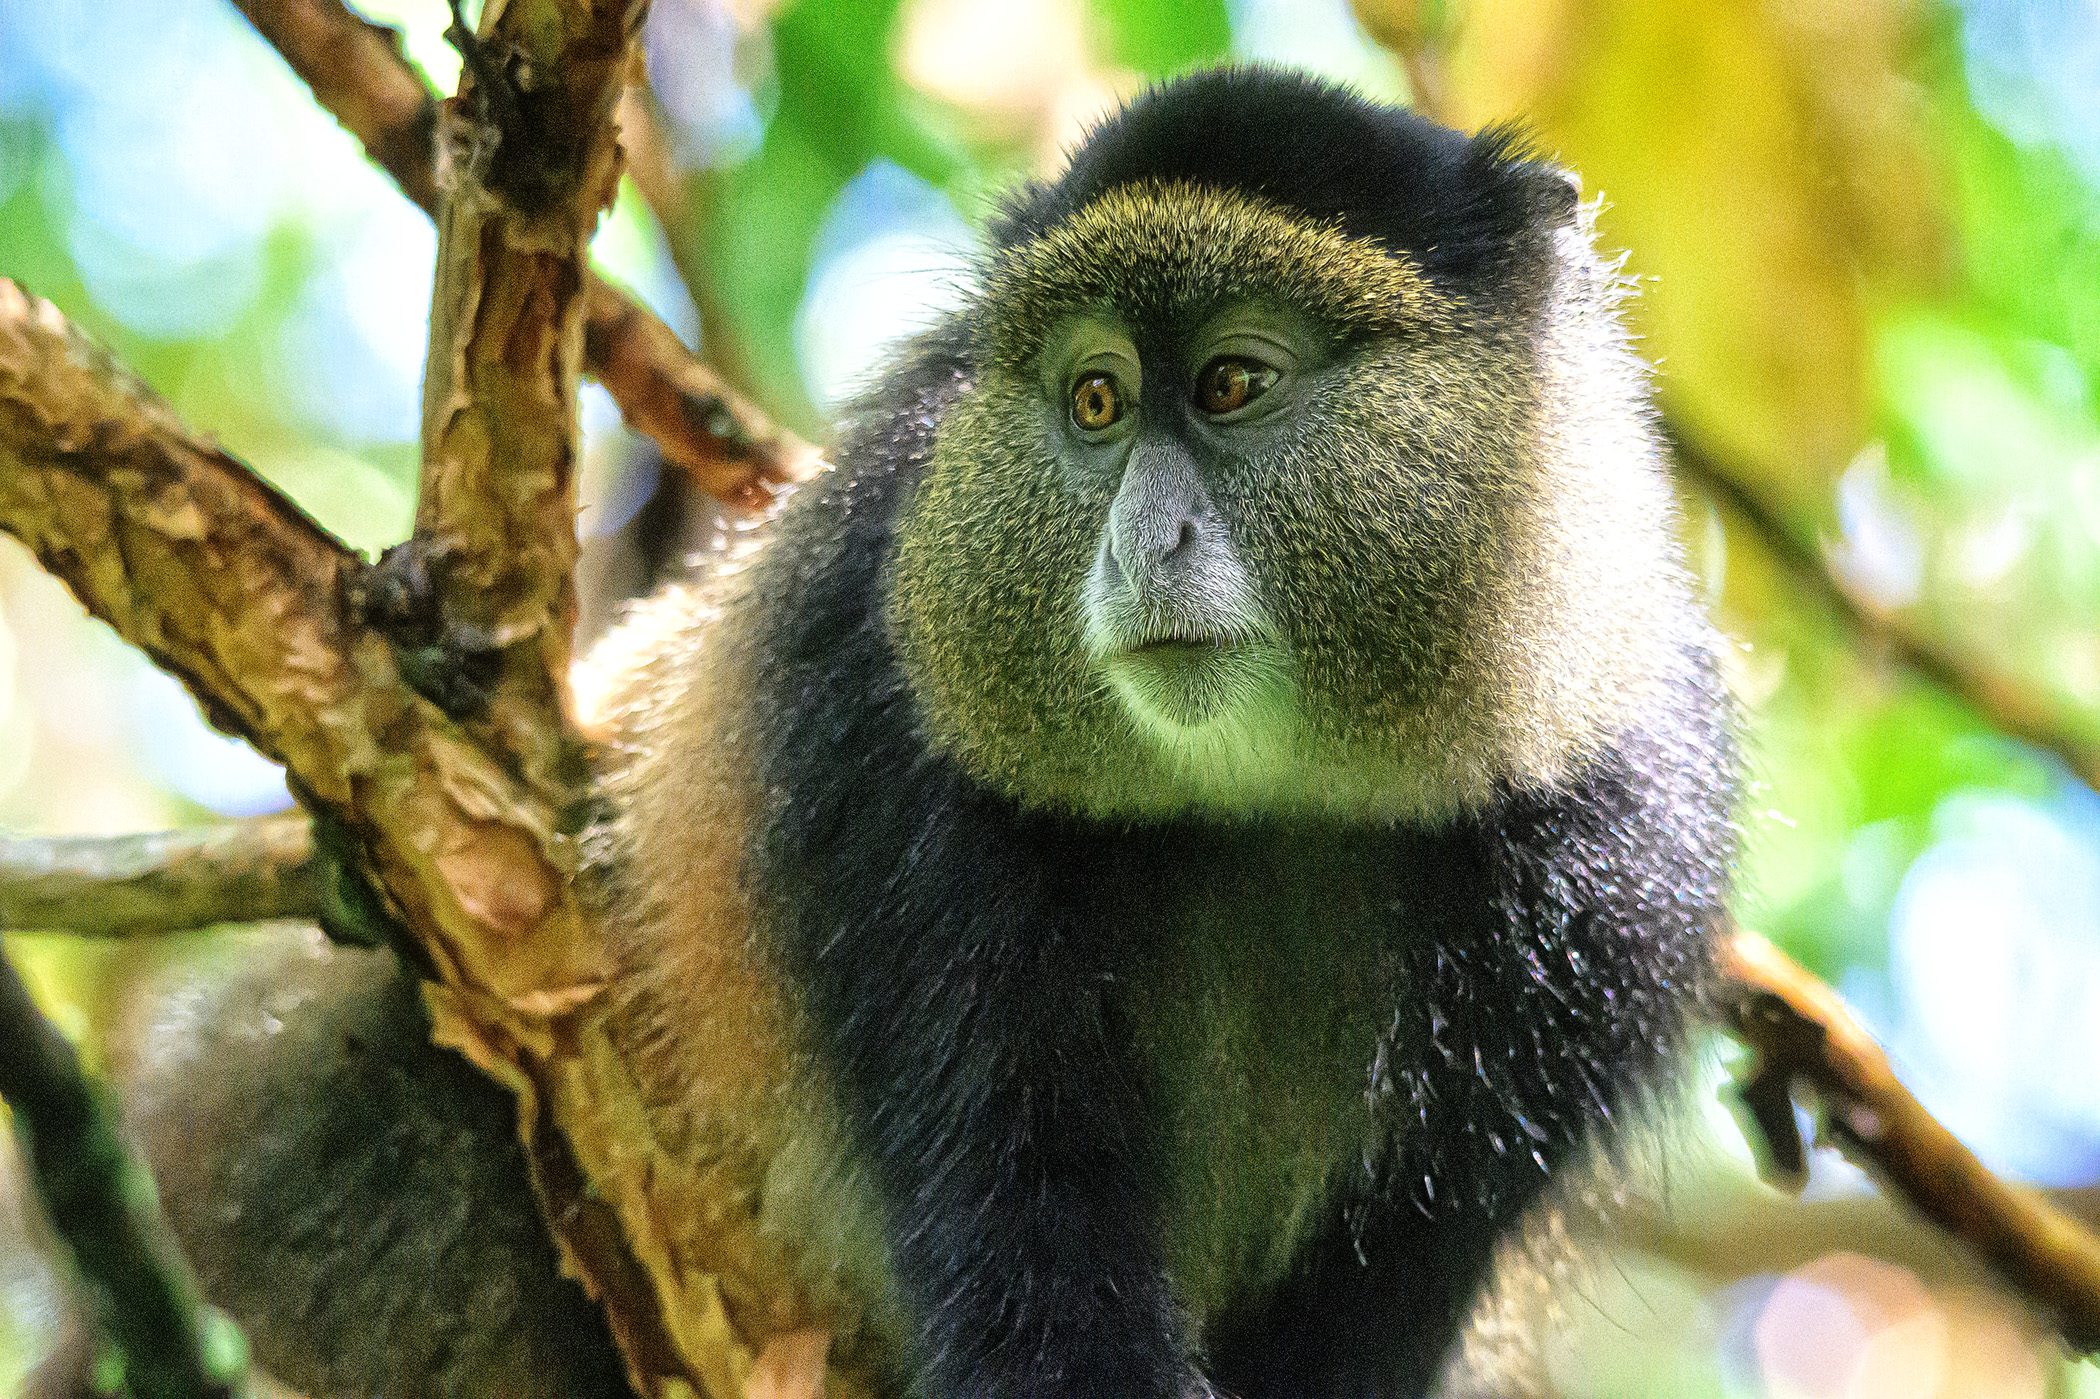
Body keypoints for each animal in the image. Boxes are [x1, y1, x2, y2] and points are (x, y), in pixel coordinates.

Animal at [8, 65, 1734, 1399]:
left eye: (1235, 382)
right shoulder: (882, 746)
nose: (1144, 541)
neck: (1268, 803)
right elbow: (1028, 1259)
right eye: (1095, 402)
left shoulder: (1615, 860)